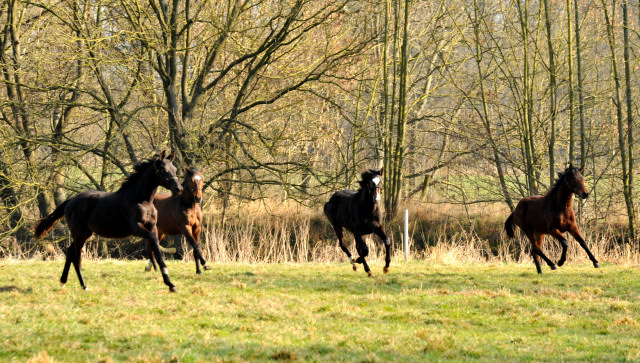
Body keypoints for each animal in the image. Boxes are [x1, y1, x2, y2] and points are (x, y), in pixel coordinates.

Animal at [35, 151, 182, 292]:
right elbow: (154, 242)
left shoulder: (152, 227)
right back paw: (84, 286)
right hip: (79, 234)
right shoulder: (137, 228)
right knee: (76, 257)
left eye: (174, 169)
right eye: (163, 170)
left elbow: (156, 248)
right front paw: (170, 283)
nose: (179, 189)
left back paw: (63, 282)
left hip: (86, 233)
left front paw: (170, 284)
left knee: (71, 252)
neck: (141, 200)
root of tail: (70, 201)